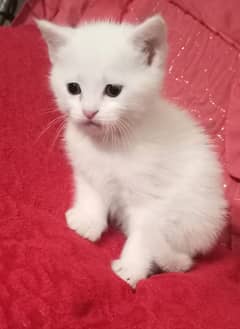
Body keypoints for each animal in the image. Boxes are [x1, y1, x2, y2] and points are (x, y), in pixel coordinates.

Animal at [37, 16, 227, 288]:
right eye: (73, 88)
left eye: (113, 90)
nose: (89, 112)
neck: (109, 144)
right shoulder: (87, 169)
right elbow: (92, 194)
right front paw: (88, 221)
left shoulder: (153, 200)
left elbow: (145, 236)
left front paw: (131, 269)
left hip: (193, 212)